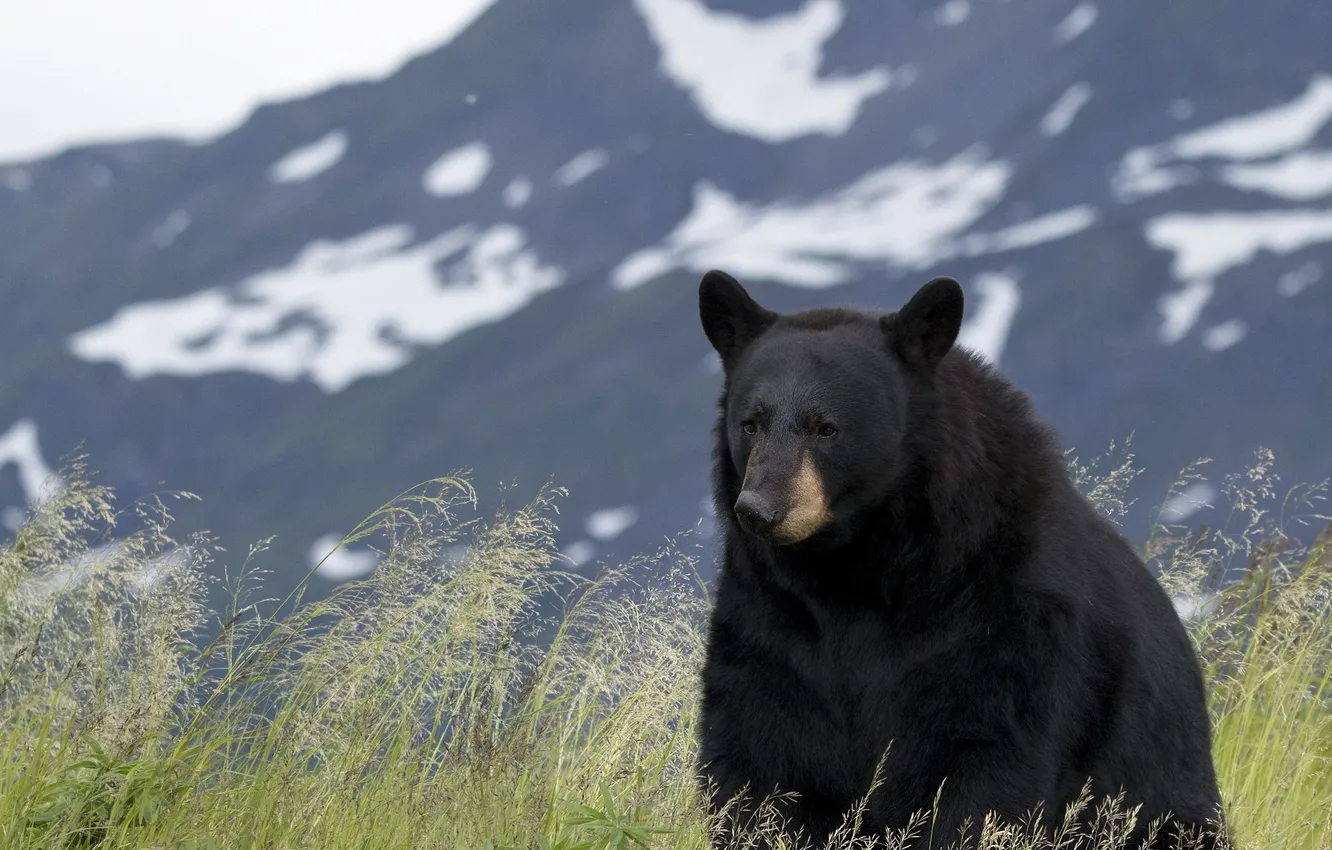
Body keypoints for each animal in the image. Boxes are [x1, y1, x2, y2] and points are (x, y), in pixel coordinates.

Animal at [694, 269, 1226, 849]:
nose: (760, 509)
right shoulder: (770, 623)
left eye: (826, 428)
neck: (854, 569)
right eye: (751, 423)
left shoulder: (1005, 617)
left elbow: (984, 768)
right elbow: (759, 761)